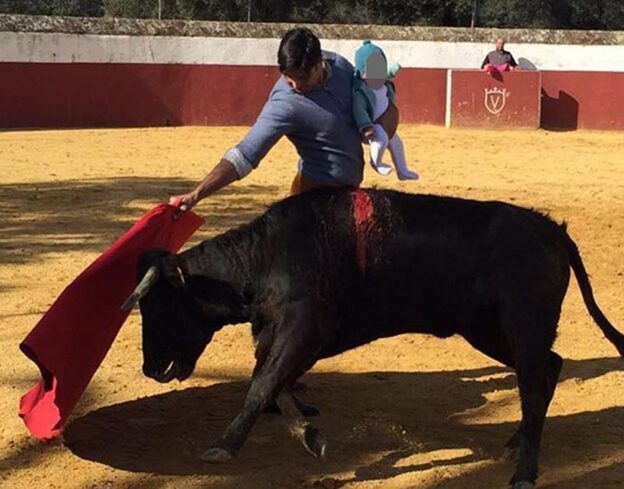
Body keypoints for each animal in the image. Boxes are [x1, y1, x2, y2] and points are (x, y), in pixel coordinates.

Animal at [123, 188, 624, 488]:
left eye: (159, 305)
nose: (150, 367)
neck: (268, 256)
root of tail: (552, 230)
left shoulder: (304, 329)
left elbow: (263, 385)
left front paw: (224, 447)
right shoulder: (281, 334)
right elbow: (273, 384)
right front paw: (310, 435)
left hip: (523, 324)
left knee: (534, 384)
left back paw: (525, 471)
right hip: (486, 329)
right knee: (547, 369)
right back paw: (517, 443)